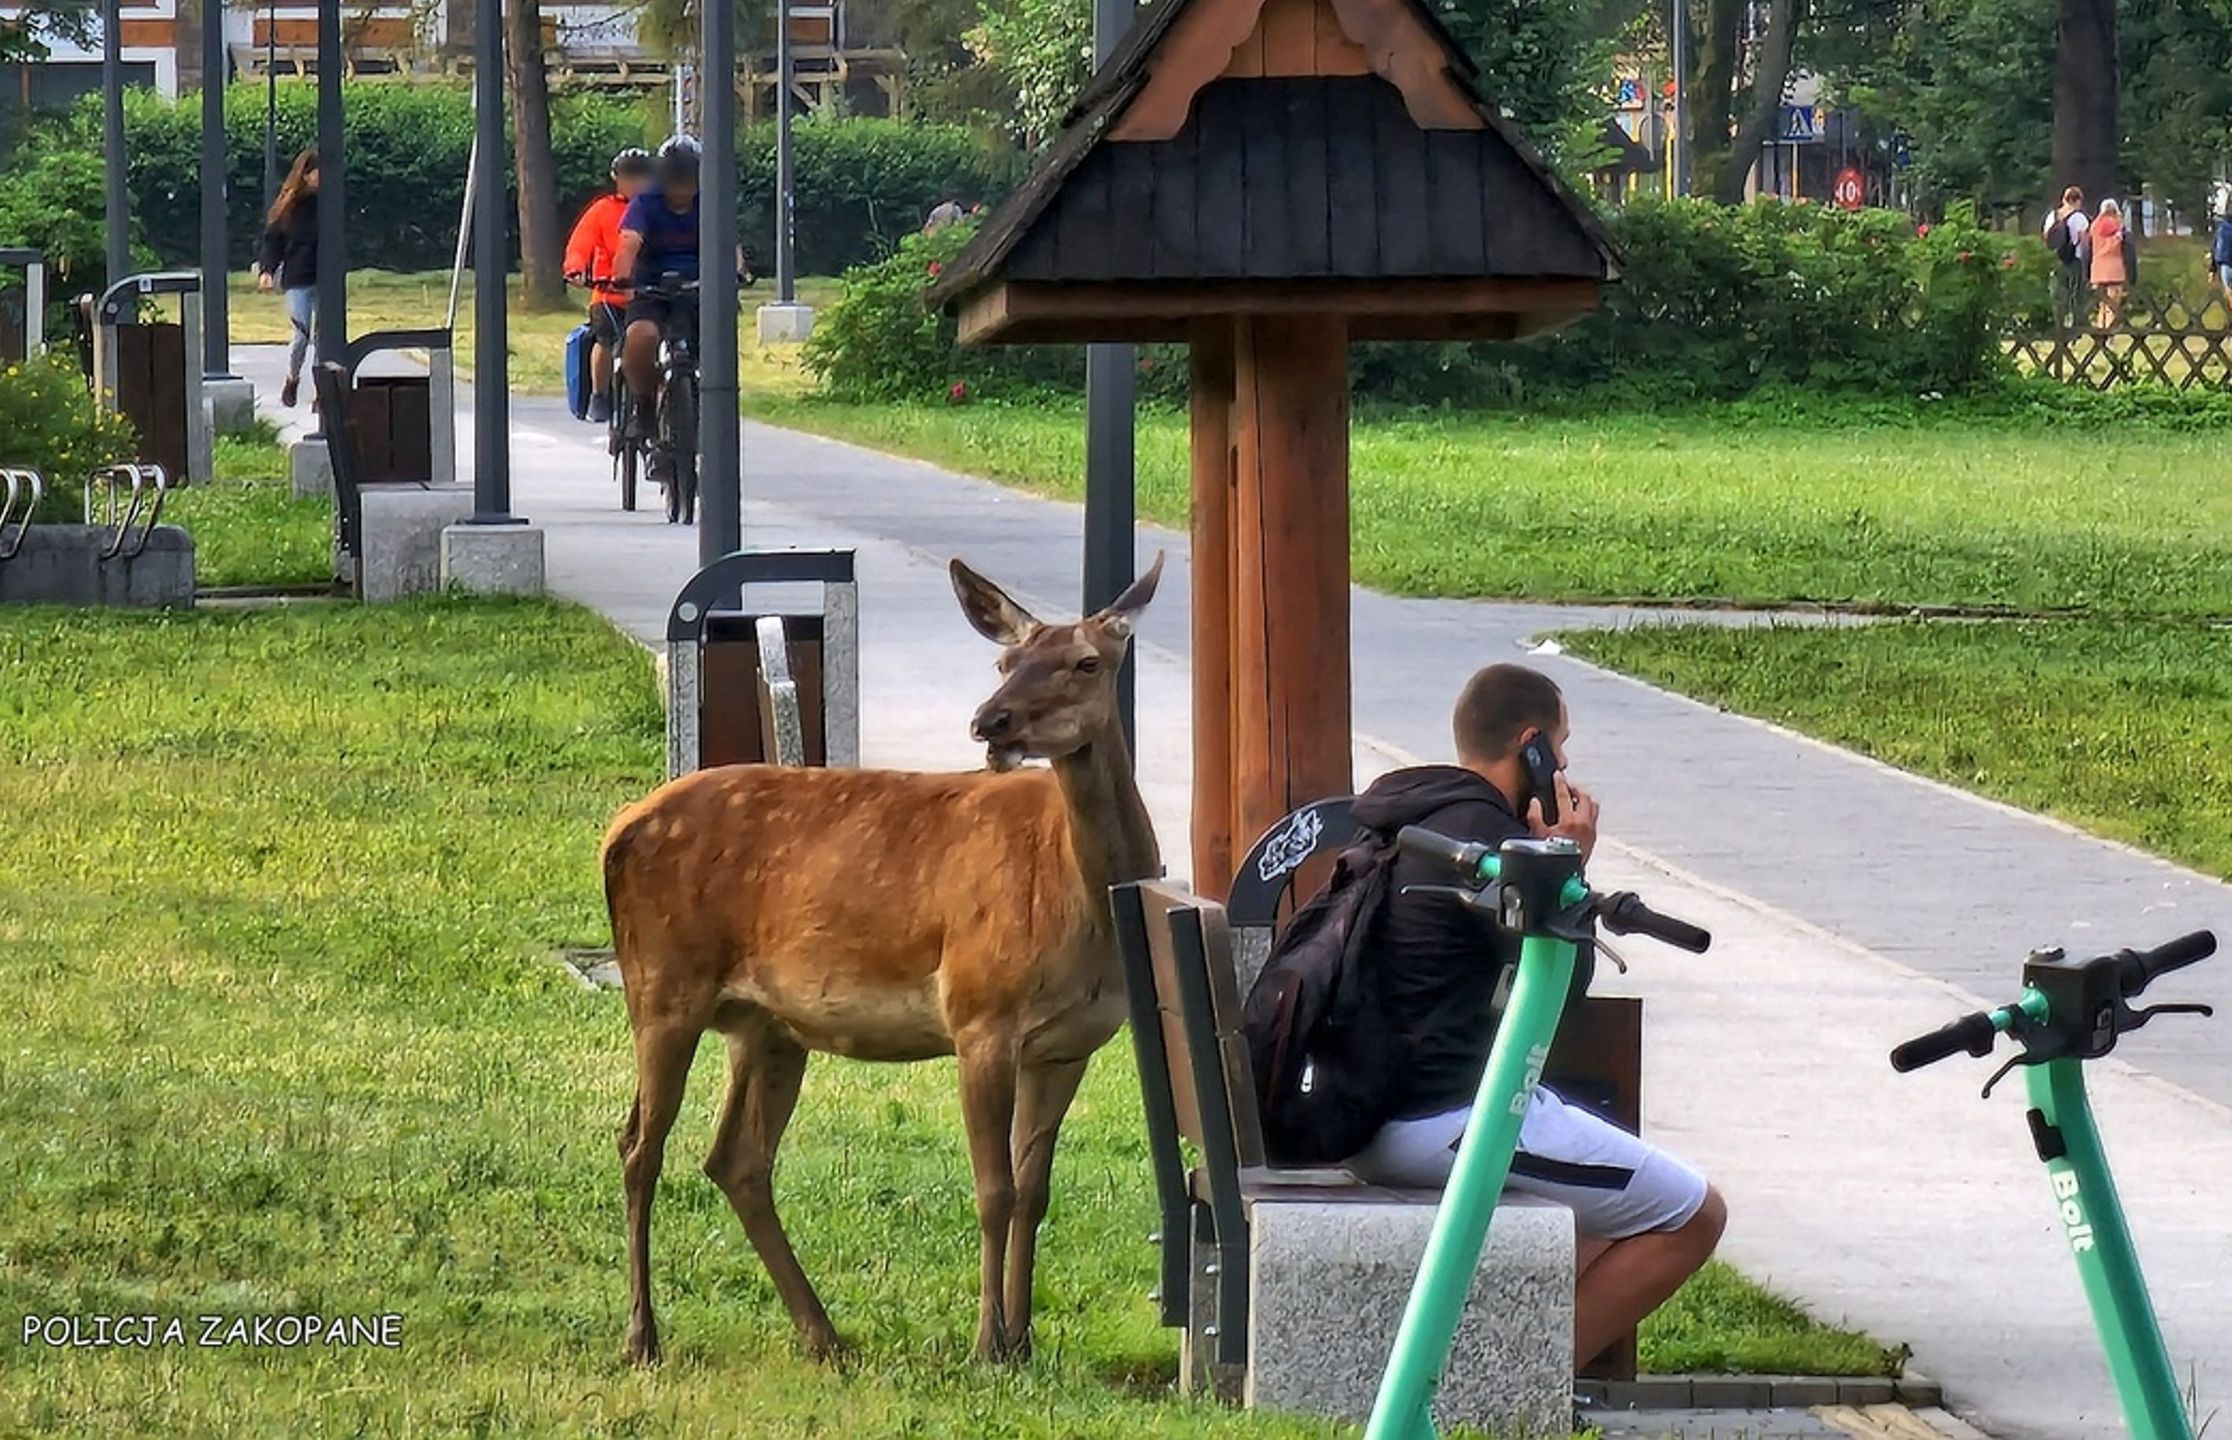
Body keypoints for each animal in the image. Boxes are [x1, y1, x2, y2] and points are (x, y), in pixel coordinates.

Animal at [607, 555, 1169, 1366]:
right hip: (661, 984)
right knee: (639, 1145)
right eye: (1004, 662)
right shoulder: (980, 1015)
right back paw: (644, 1336)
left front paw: (1025, 1340)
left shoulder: (1071, 1044)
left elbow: (1035, 1191)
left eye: (1086, 661)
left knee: (735, 1160)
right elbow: (994, 1189)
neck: (1085, 906)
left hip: (766, 1025)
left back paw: (822, 1334)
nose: (990, 722)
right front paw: (987, 1346)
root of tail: (615, 833)